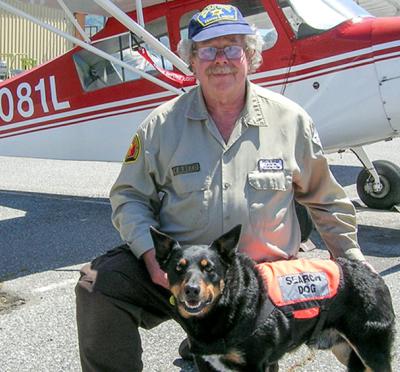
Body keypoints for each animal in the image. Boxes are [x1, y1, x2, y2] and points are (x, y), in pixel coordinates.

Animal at [149, 225, 394, 370]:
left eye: (209, 268)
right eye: (178, 268)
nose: (191, 289)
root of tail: (371, 274)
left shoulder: (254, 364)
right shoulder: (204, 362)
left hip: (371, 349)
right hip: (345, 349)